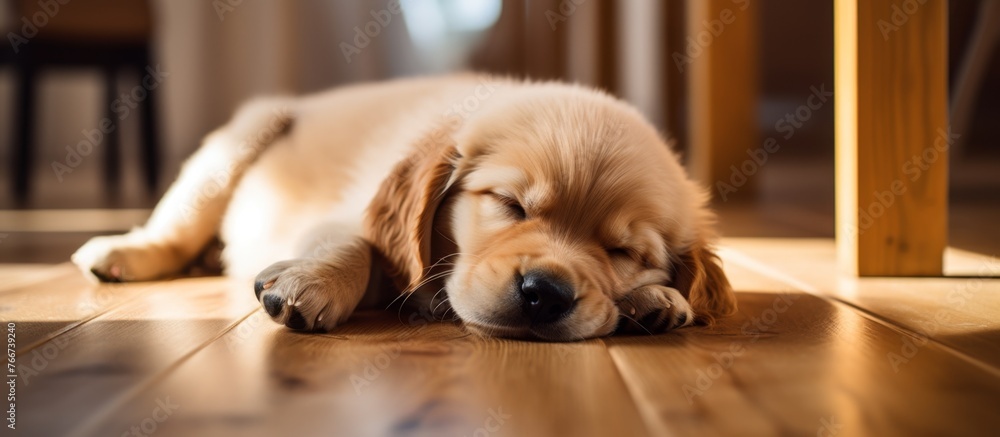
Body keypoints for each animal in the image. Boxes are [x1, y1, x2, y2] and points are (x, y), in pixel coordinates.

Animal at [72, 74, 736, 340]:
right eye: (509, 205)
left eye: (624, 251)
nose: (544, 294)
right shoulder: (348, 212)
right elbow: (356, 244)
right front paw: (311, 283)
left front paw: (658, 299)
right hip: (238, 142)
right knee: (177, 225)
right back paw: (124, 252)